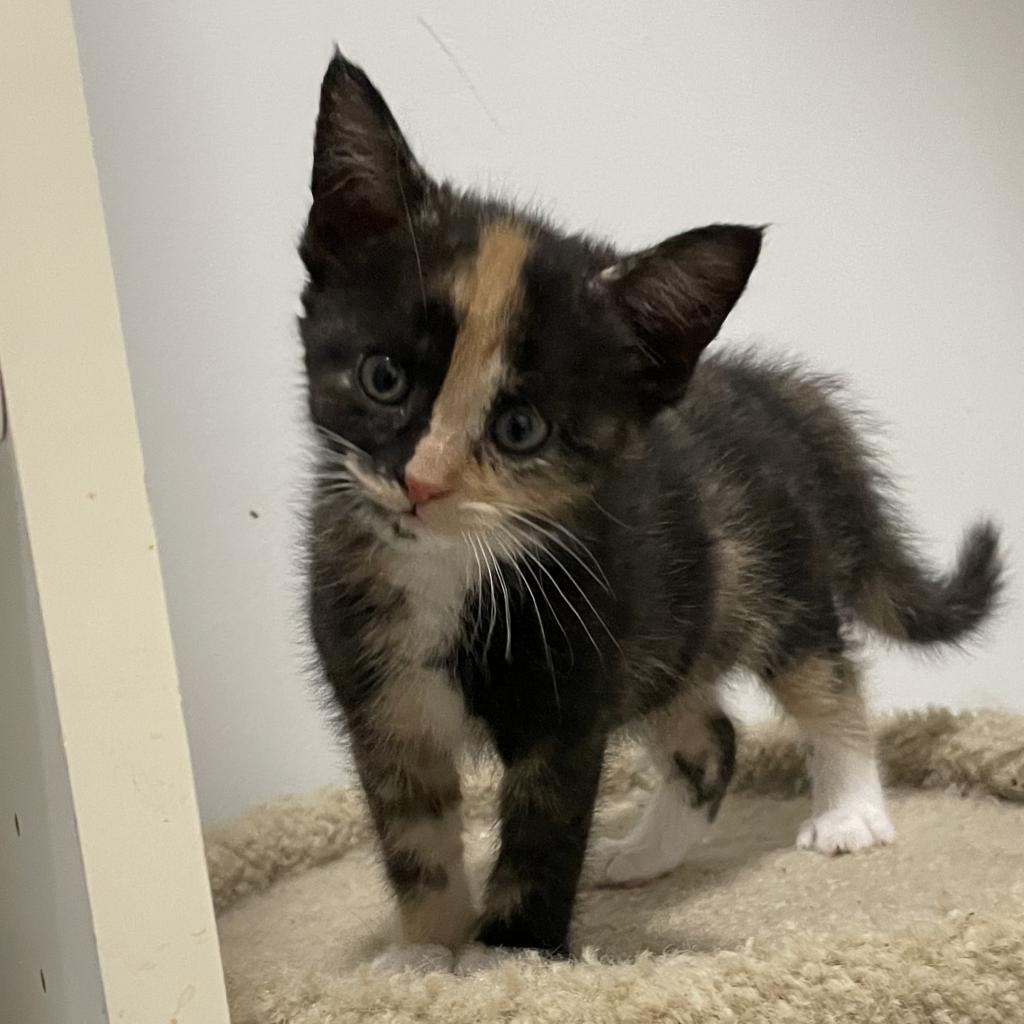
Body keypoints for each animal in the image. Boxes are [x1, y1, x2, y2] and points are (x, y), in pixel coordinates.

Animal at [296, 51, 999, 970]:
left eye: (520, 429)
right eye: (383, 378)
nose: (421, 484)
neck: (449, 571)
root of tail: (776, 393)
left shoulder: (569, 702)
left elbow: (542, 838)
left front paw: (507, 960)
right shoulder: (384, 701)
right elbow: (413, 836)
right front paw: (422, 957)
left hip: (770, 584)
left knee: (827, 679)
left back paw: (850, 809)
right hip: (669, 631)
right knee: (713, 736)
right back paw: (649, 853)